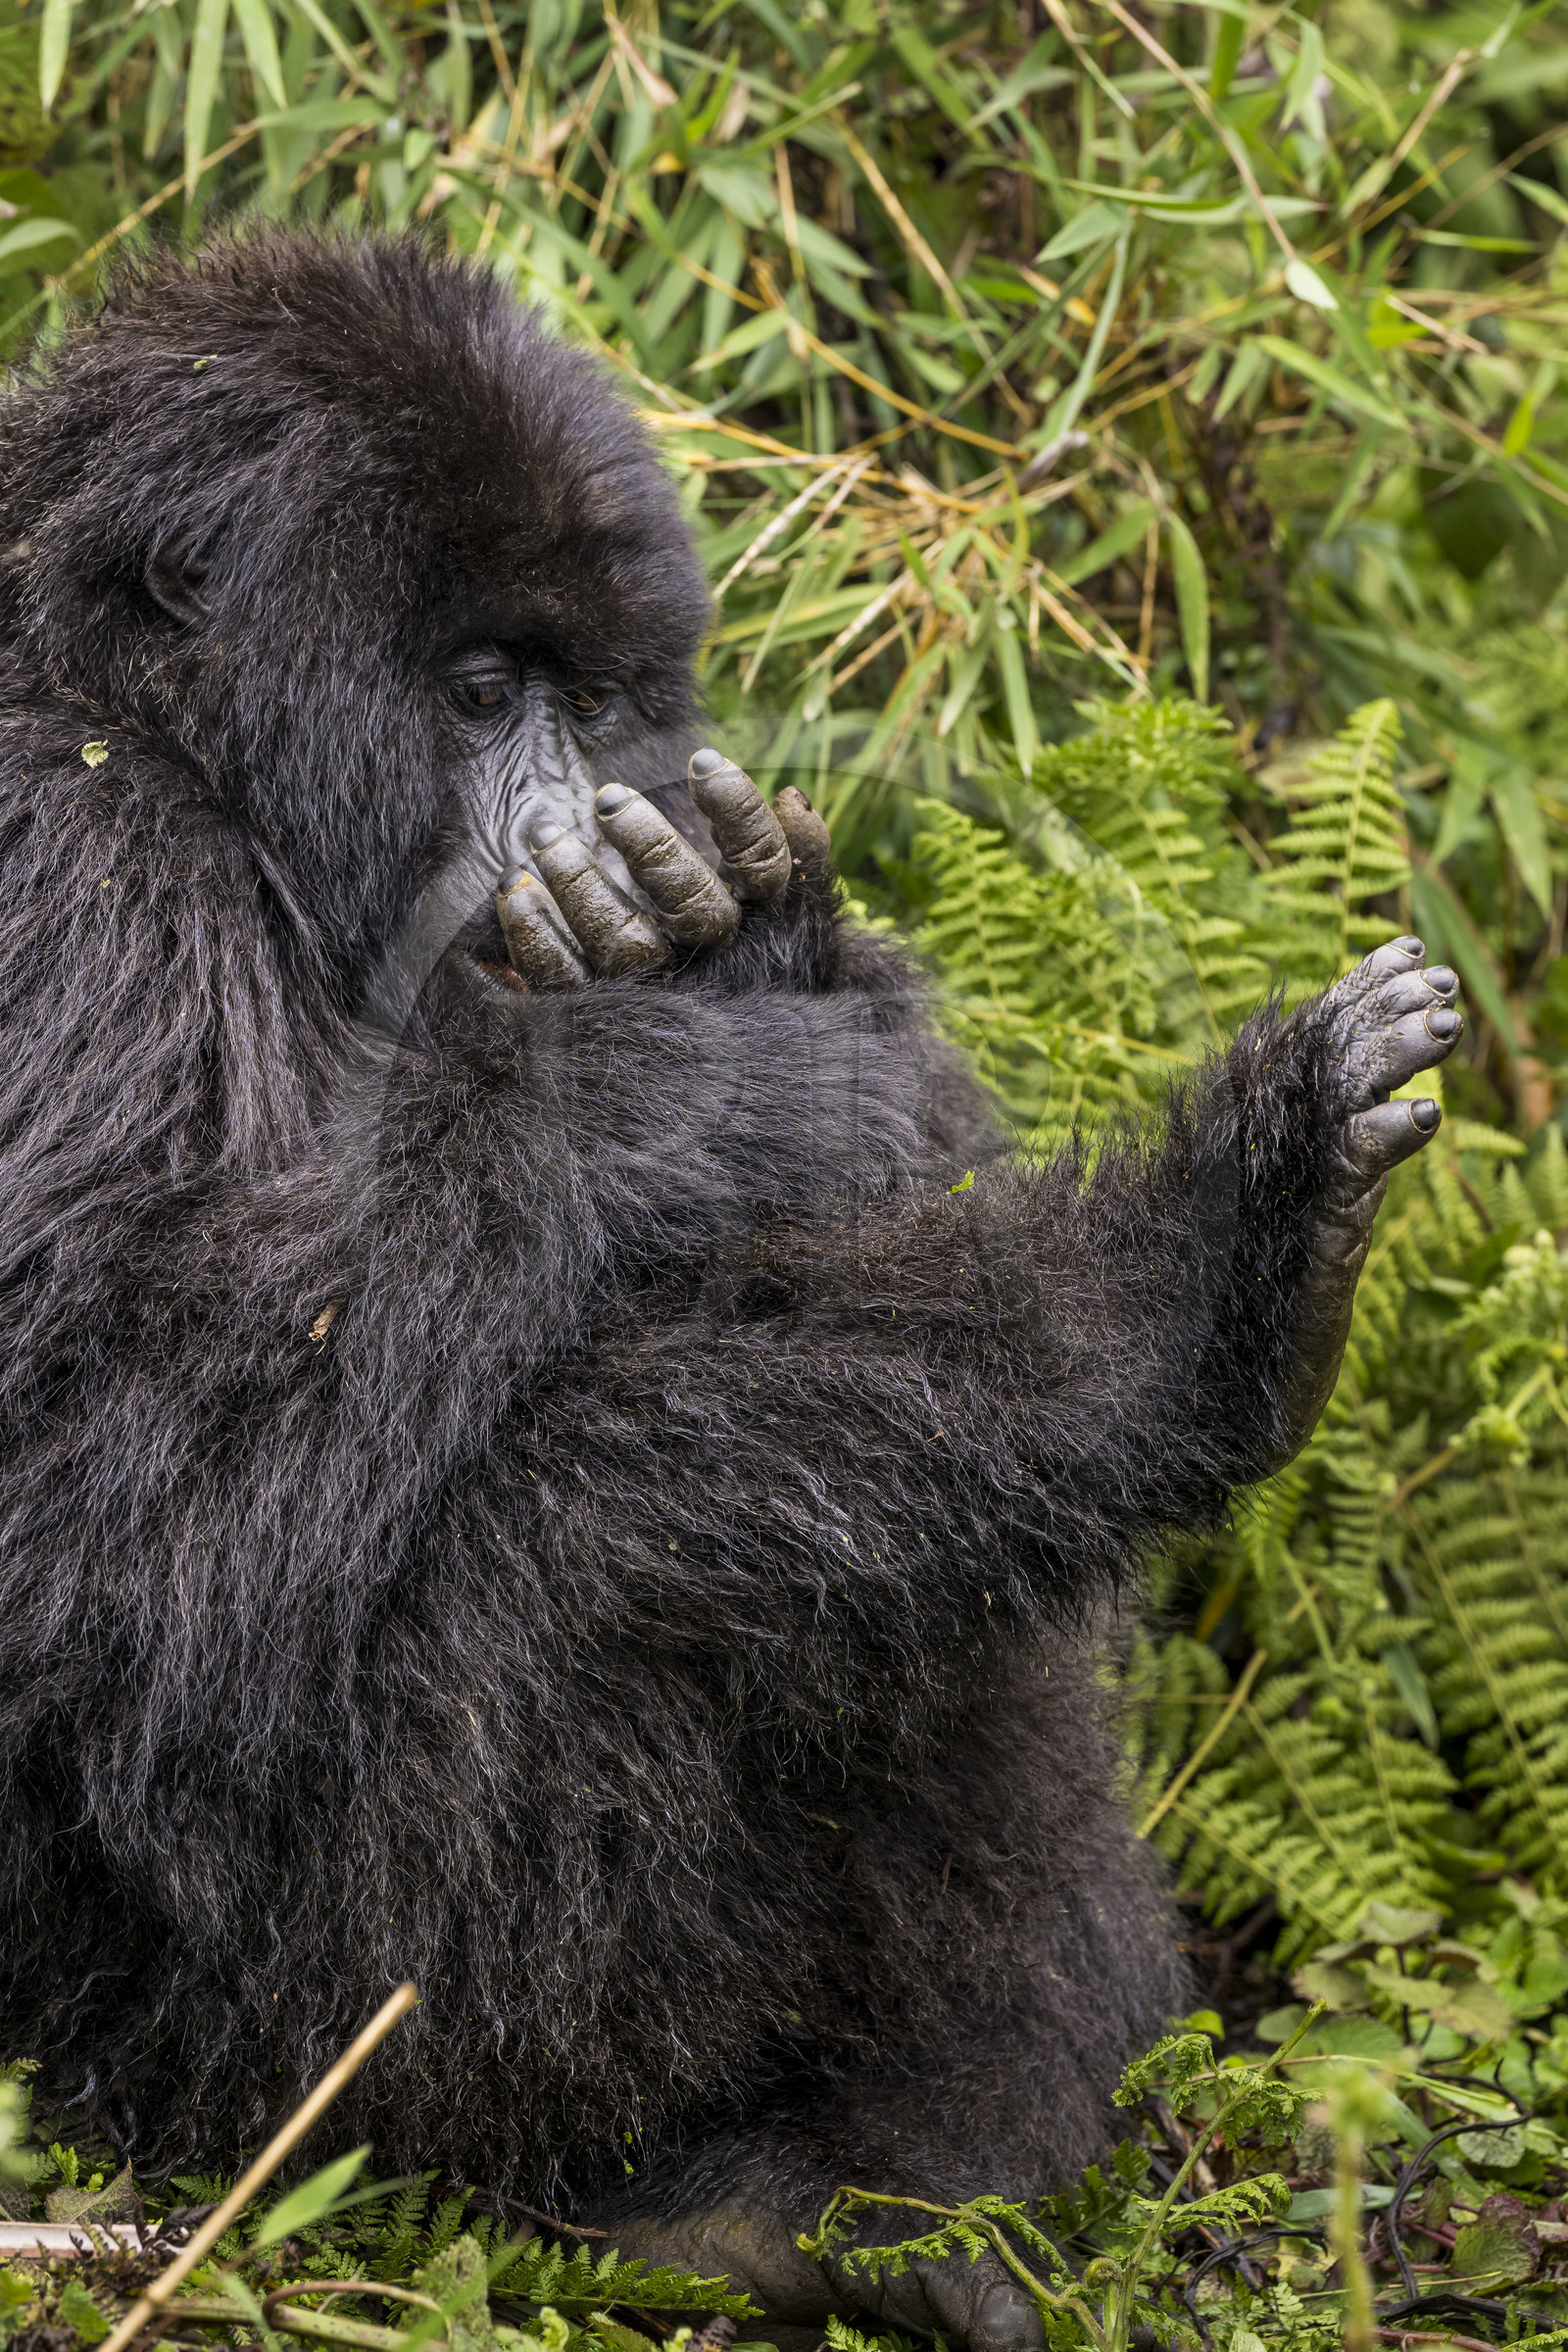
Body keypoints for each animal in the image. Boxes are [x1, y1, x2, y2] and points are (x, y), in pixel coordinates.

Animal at [0, 230, 1461, 2352]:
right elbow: (122, 1515)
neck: (165, 737)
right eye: (477, 695)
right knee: (616, 1532)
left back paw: (921, 2189)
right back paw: (1204, 1303)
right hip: (236, 2089)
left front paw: (758, 949)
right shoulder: (64, 872)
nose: (572, 827)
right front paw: (728, 1063)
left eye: (596, 698)